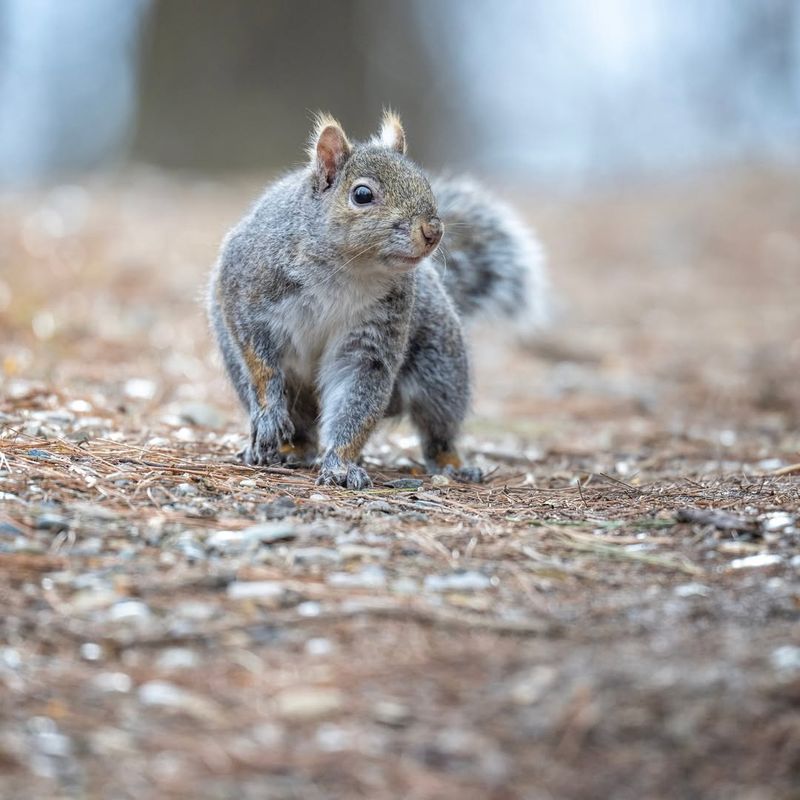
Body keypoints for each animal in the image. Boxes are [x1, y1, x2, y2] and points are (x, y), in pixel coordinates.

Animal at [208, 111, 548, 489]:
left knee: (438, 430)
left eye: (425, 183)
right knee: (300, 427)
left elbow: (356, 401)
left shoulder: (372, 337)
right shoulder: (247, 293)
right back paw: (286, 449)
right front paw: (269, 413)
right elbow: (258, 360)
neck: (347, 270)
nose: (433, 231)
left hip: (442, 371)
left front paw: (341, 465)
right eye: (362, 194)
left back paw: (453, 464)